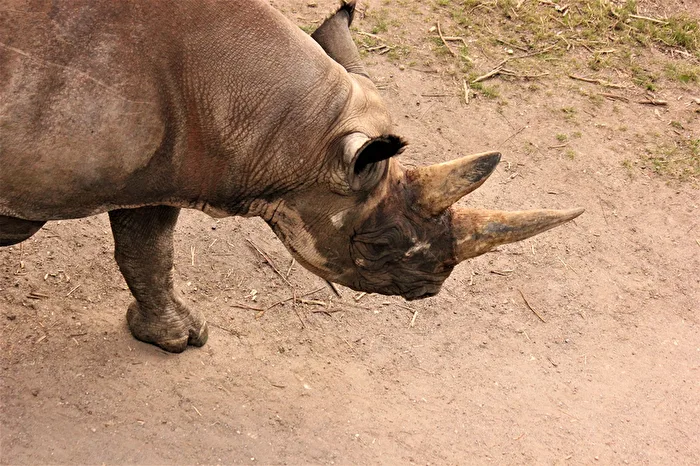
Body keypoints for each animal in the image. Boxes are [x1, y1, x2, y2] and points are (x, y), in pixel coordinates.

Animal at [0, 0, 583, 352]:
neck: (289, 133)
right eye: (376, 246)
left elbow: (149, 252)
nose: (430, 289)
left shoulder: (157, 170)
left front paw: (177, 338)